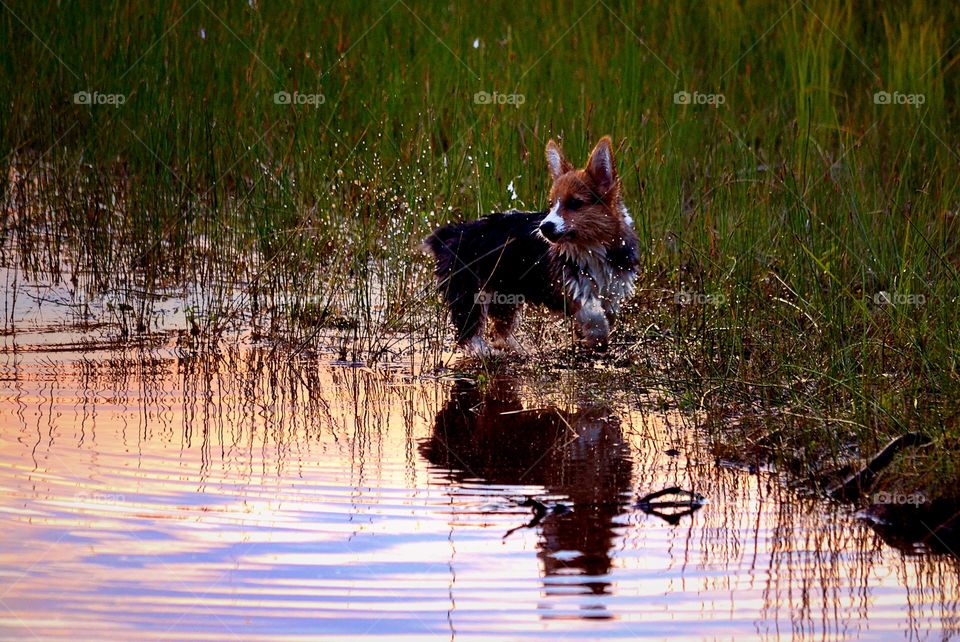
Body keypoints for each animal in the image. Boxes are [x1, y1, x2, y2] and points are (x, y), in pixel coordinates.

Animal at [422, 136, 636, 356]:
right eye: (552, 204)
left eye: (575, 203)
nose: (544, 227)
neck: (591, 247)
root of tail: (452, 234)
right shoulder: (572, 287)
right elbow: (593, 314)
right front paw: (597, 337)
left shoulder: (613, 288)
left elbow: (606, 314)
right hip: (469, 289)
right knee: (469, 331)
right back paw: (486, 352)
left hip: (505, 293)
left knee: (500, 329)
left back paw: (517, 349)